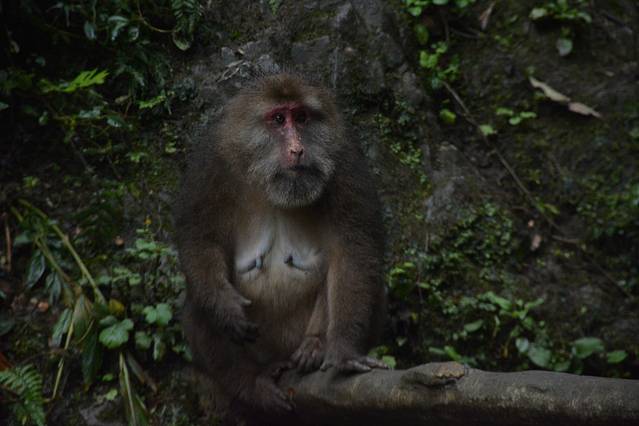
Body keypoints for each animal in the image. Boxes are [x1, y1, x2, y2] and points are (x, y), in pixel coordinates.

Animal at [174, 73, 387, 415]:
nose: (298, 149)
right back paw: (250, 383)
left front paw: (342, 350)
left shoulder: (345, 159)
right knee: (196, 303)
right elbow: (199, 236)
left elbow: (353, 249)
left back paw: (315, 346)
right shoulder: (211, 160)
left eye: (301, 117)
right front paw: (225, 306)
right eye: (278, 119)